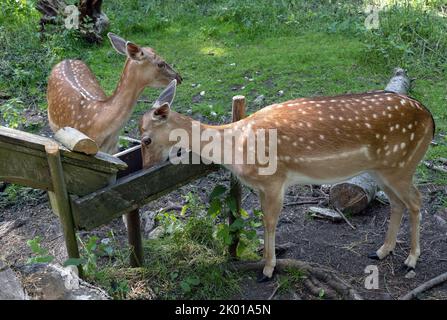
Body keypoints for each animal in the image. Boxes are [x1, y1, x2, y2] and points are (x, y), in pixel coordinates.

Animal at [139, 80, 434, 282]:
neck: (235, 146)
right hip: (382, 170)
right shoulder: (261, 186)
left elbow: (270, 223)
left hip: (401, 165)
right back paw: (382, 251)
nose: (146, 166)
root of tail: (430, 119)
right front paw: (264, 262)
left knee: (416, 201)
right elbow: (262, 220)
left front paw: (268, 270)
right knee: (397, 203)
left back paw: (411, 260)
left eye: (146, 139)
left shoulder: (275, 180)